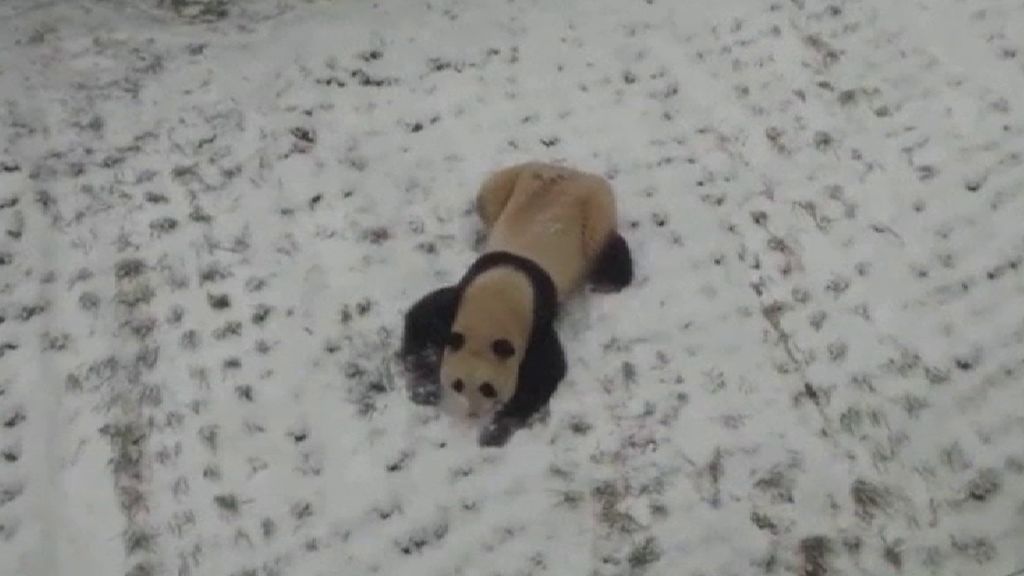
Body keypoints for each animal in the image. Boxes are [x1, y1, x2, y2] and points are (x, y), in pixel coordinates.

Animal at [400, 161, 633, 447]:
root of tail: (573, 171)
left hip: (596, 205)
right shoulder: (462, 295)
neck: (493, 305)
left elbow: (546, 373)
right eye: (457, 383)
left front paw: (495, 429)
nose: (474, 414)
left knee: (602, 241)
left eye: (488, 388)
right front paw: (423, 387)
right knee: (486, 198)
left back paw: (607, 282)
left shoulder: (536, 320)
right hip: (514, 179)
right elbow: (422, 317)